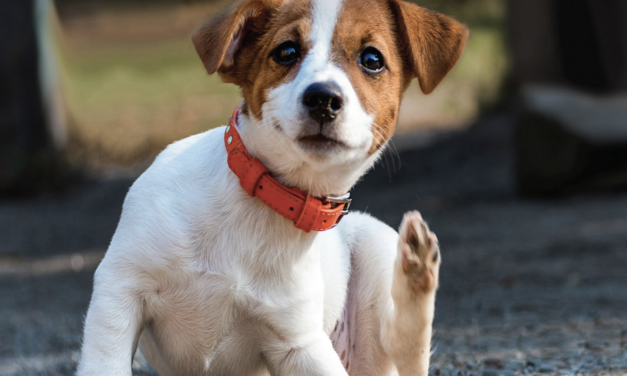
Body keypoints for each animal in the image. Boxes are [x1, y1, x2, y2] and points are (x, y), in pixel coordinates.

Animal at [78, 0, 468, 374]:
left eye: (371, 59)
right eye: (286, 51)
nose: (323, 99)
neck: (259, 207)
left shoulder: (297, 343)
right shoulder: (121, 287)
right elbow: (105, 363)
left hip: (373, 243)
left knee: (406, 349)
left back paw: (417, 268)